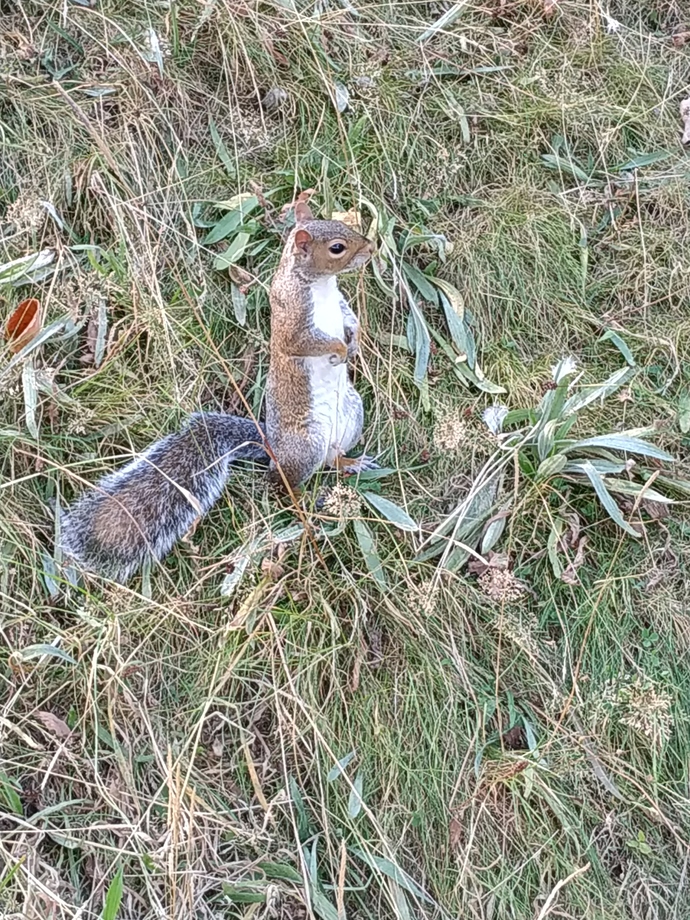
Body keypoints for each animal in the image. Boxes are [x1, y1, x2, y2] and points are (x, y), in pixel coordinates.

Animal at [60, 201, 375, 582]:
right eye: (337, 248)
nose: (372, 248)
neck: (321, 286)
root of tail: (270, 444)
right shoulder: (293, 324)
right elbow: (306, 343)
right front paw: (340, 350)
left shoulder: (339, 305)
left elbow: (350, 317)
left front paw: (354, 340)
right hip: (305, 447)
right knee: (278, 483)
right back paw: (303, 503)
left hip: (352, 415)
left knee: (331, 459)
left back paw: (352, 462)